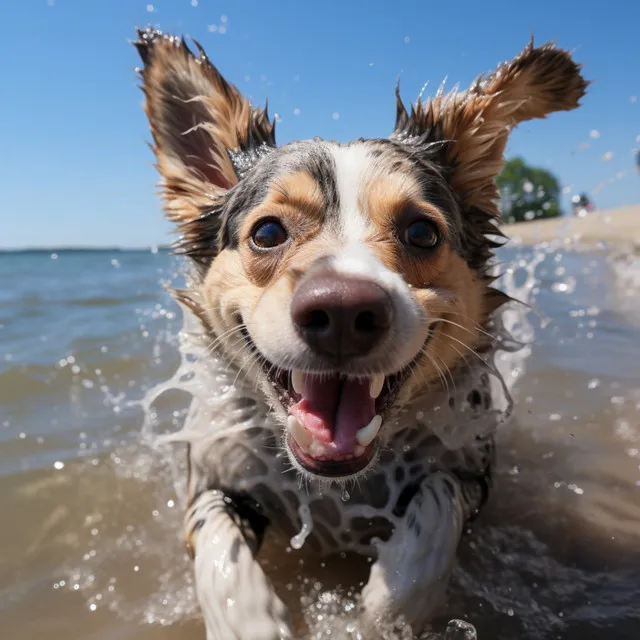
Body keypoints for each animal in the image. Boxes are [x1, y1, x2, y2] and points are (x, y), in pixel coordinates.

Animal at [132, 28, 588, 640]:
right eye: (268, 232)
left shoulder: (469, 468)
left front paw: (386, 611)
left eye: (421, 232)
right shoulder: (213, 475)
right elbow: (220, 554)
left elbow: (434, 511)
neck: (336, 484)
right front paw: (252, 623)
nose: (343, 311)